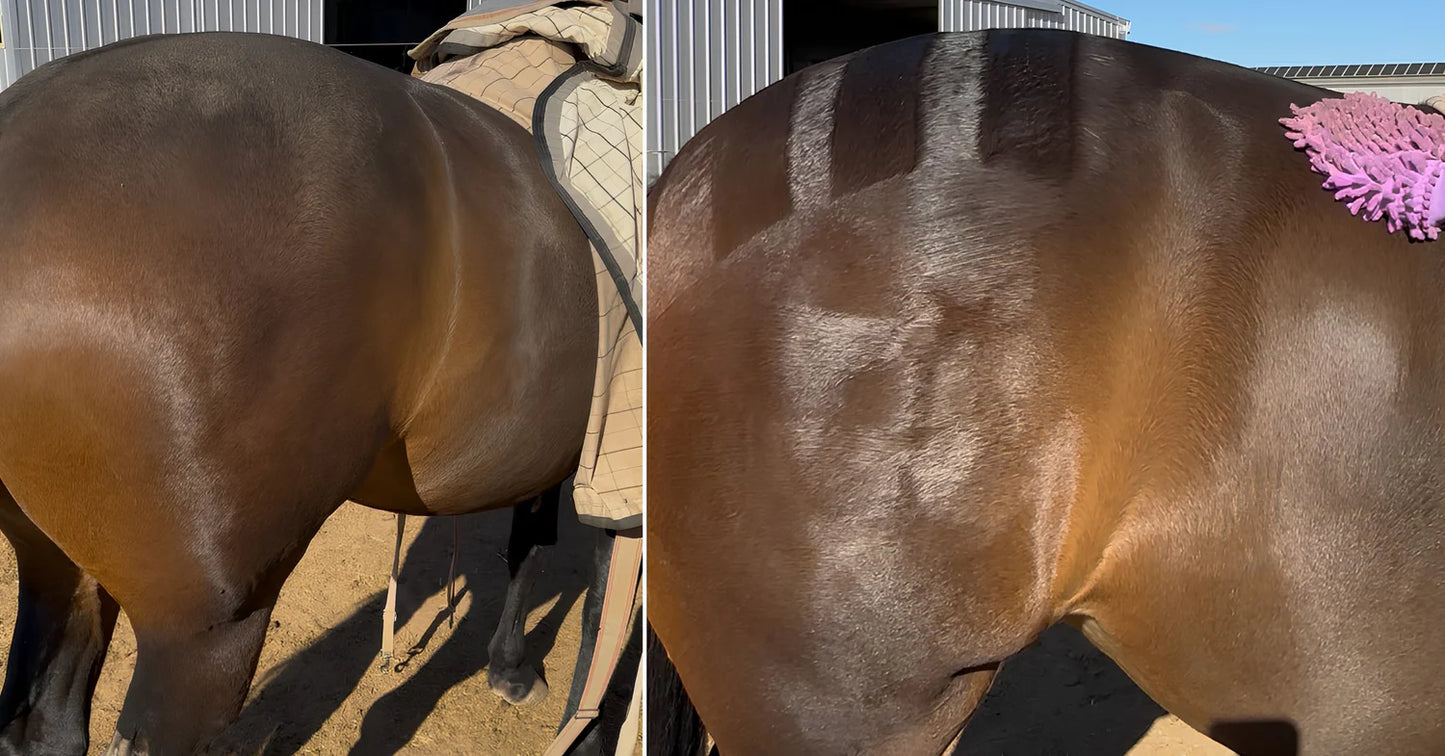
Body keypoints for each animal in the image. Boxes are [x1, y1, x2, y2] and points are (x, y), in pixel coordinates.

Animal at [0, 31, 621, 755]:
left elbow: (536, 537)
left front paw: (511, 668)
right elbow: (602, 614)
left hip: (58, 565)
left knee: (43, 726)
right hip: (205, 637)